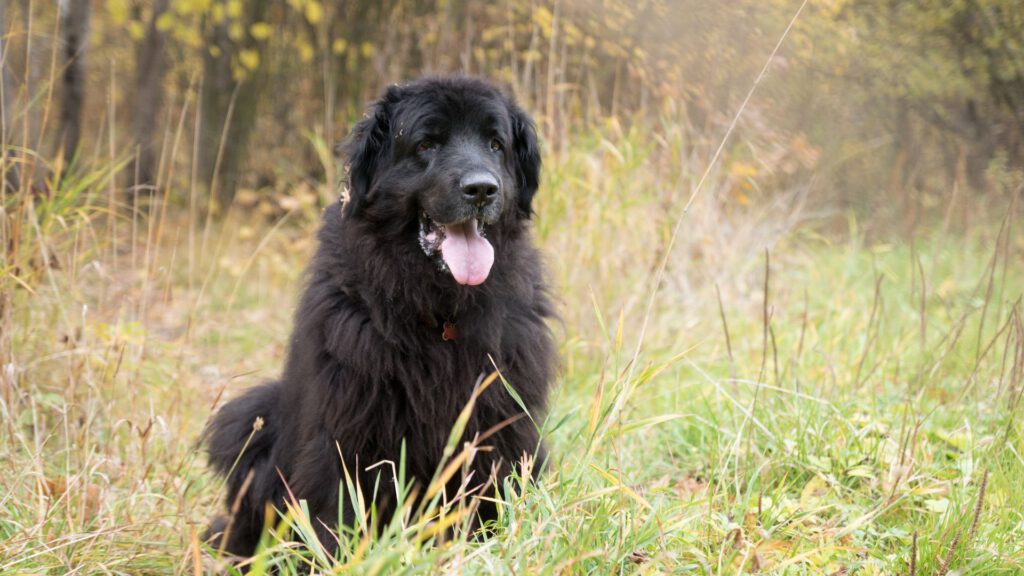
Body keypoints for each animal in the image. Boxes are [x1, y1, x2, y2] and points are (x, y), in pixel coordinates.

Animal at [204, 73, 557, 553]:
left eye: (495, 144)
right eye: (427, 143)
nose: (483, 189)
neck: (440, 312)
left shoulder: (499, 422)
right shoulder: (350, 425)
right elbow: (339, 504)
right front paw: (341, 556)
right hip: (251, 421)